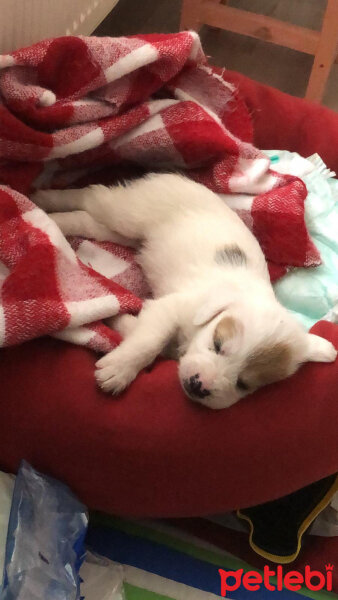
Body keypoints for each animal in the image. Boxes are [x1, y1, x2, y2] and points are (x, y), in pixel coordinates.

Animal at [33, 171, 336, 410]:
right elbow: (148, 342)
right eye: (217, 344)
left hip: (126, 234)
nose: (199, 386)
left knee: (88, 221)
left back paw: (58, 220)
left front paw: (118, 327)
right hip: (127, 213)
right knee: (91, 195)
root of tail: (182, 179)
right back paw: (43, 198)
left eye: (244, 384)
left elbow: (139, 332)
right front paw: (118, 371)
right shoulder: (171, 308)